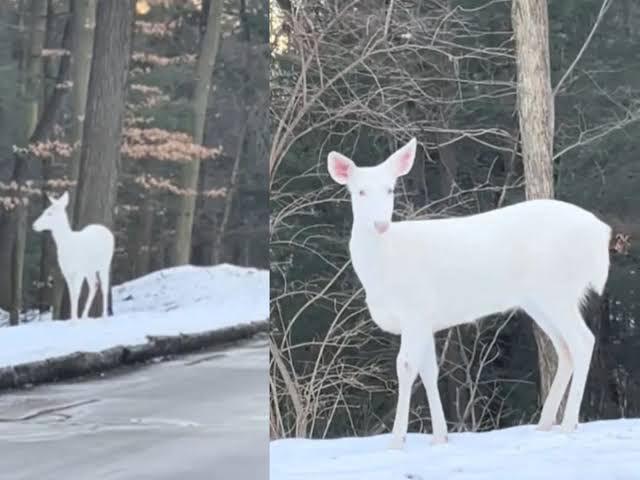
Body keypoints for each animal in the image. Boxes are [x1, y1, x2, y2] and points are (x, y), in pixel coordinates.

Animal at [33, 192, 114, 321]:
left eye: (49, 213)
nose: (34, 225)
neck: (68, 244)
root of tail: (106, 230)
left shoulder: (78, 271)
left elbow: (76, 293)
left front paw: (74, 320)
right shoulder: (66, 271)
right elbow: (71, 294)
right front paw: (73, 318)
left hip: (105, 263)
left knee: (104, 286)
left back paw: (104, 315)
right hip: (89, 269)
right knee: (94, 285)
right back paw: (84, 316)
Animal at [327, 138, 611, 448]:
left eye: (390, 189)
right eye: (360, 191)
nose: (380, 224)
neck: (384, 267)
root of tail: (602, 233)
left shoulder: (415, 309)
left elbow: (406, 366)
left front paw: (396, 442)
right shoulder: (425, 320)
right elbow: (430, 370)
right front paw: (440, 437)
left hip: (557, 288)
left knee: (583, 340)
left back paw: (568, 425)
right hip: (539, 300)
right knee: (565, 348)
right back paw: (544, 424)